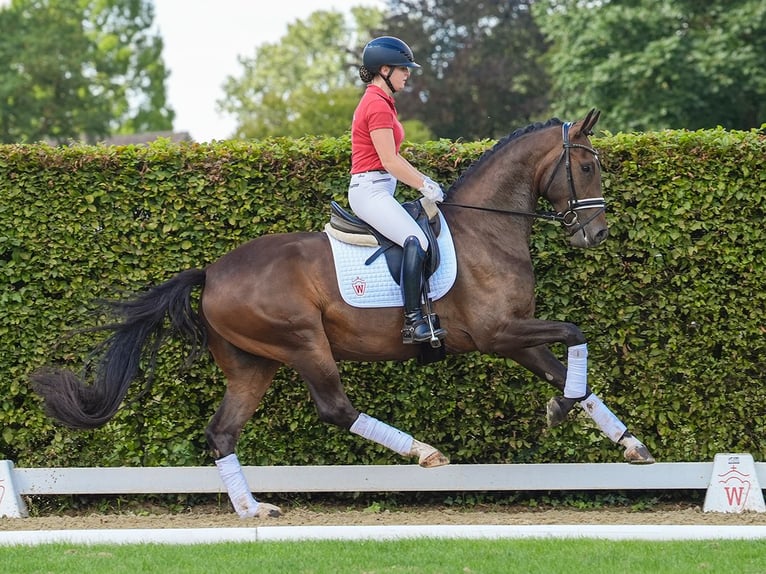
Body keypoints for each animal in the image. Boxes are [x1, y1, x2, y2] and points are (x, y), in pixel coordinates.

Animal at [30, 107, 656, 516]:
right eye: (589, 166)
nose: (596, 234)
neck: (488, 230)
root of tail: (211, 272)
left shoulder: (517, 338)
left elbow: (574, 370)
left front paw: (627, 443)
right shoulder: (497, 333)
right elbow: (576, 332)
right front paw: (561, 409)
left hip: (253, 363)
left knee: (222, 432)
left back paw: (253, 511)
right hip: (303, 342)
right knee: (335, 408)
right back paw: (424, 453)